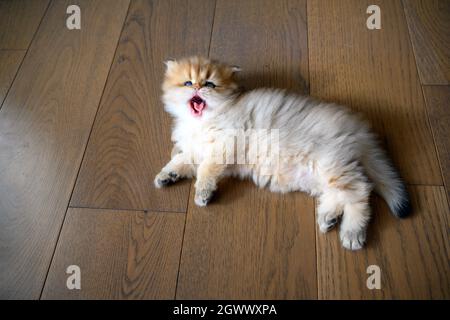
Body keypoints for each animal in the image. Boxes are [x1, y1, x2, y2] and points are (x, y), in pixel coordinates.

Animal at [155, 55, 412, 250]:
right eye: (188, 83)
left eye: (209, 84)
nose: (198, 88)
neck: (203, 121)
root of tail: (360, 128)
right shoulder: (197, 150)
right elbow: (181, 160)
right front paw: (167, 176)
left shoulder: (224, 144)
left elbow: (206, 171)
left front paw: (203, 193)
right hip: (323, 174)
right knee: (340, 194)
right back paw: (328, 218)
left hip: (331, 163)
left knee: (360, 191)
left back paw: (352, 232)